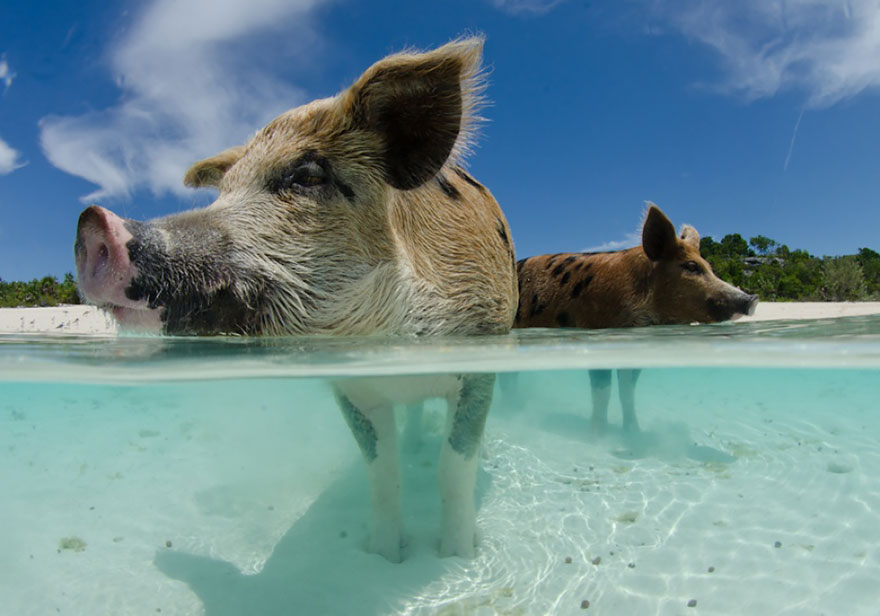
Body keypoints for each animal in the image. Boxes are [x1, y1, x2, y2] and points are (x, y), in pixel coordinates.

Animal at [73, 38, 518, 562]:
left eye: (305, 176)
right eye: (223, 193)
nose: (94, 222)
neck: (388, 338)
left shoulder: (482, 354)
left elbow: (454, 466)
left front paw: (458, 555)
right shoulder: (349, 390)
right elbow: (382, 474)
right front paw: (384, 556)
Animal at [514, 204, 757, 433]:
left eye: (710, 267)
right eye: (691, 266)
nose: (752, 298)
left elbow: (627, 391)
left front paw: (633, 433)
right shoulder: (596, 331)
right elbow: (603, 391)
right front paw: (596, 435)